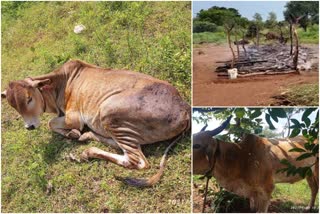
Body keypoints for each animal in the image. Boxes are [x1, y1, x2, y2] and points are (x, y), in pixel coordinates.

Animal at [1, 59, 190, 186]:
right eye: (13, 105)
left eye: (29, 98)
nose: (30, 127)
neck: (60, 84)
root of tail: (184, 107)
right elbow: (52, 124)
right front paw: (74, 134)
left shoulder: (74, 117)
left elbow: (51, 123)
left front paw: (73, 133)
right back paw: (86, 139)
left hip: (108, 110)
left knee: (137, 161)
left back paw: (86, 151)